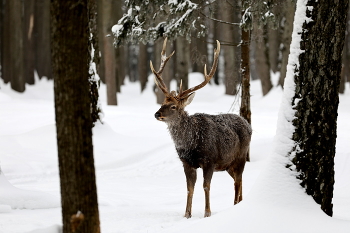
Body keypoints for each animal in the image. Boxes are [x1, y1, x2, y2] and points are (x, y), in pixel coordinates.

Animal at [150, 37, 252, 218]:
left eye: (174, 106)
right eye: (163, 102)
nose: (157, 114)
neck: (190, 144)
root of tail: (249, 125)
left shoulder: (209, 160)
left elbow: (206, 186)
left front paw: (207, 213)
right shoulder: (186, 162)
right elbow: (189, 188)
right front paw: (187, 214)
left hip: (240, 156)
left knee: (238, 181)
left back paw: (235, 204)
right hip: (228, 164)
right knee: (238, 180)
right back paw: (239, 203)